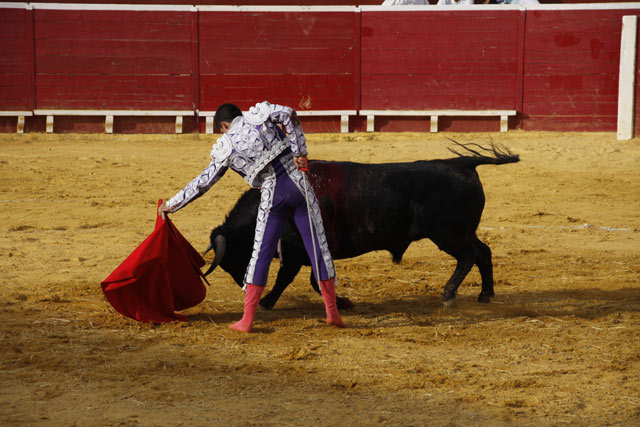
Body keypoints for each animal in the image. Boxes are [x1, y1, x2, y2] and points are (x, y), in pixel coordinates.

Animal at [205, 144, 520, 310]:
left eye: (231, 257)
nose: (242, 285)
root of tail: (462, 164)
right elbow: (308, 279)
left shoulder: (298, 251)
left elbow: (295, 278)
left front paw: (268, 301)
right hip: (463, 231)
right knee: (483, 252)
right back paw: (485, 294)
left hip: (447, 233)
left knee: (468, 255)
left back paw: (449, 294)